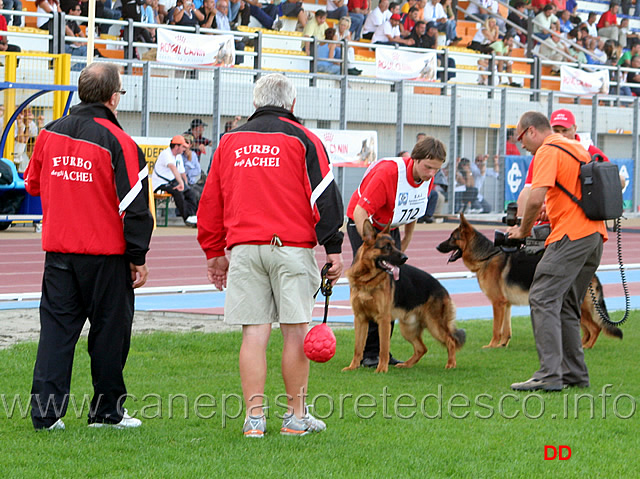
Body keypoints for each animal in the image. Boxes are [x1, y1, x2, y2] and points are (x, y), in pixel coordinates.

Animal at [342, 221, 468, 376]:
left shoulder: (383, 320)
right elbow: (358, 347)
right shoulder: (360, 319)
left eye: (395, 245)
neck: (367, 280)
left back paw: (451, 364)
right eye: (387, 247)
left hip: (434, 325)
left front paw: (381, 369)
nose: (405, 258)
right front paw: (353, 367)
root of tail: (441, 287)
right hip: (408, 328)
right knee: (422, 348)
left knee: (450, 341)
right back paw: (406, 365)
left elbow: (383, 348)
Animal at [436, 216, 620, 350]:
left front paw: (491, 346)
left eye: (452, 238)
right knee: (587, 330)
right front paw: (502, 345)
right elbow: (506, 330)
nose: (437, 247)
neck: (486, 257)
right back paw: (580, 345)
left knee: (595, 328)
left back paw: (586, 347)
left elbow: (496, 328)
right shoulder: (506, 304)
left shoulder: (497, 303)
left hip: (579, 308)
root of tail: (594, 276)